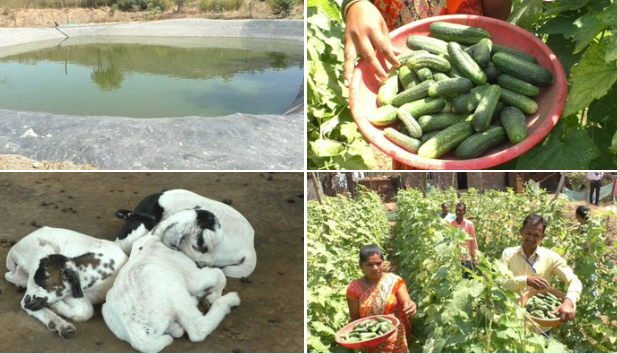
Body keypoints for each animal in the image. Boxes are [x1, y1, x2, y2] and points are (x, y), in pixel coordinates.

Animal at [102, 209, 239, 352]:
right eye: (201, 247)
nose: (205, 264)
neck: (156, 237)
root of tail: (137, 336)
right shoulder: (194, 278)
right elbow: (220, 274)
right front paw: (214, 295)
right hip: (173, 289)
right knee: (197, 329)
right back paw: (229, 300)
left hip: (106, 304)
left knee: (178, 331)